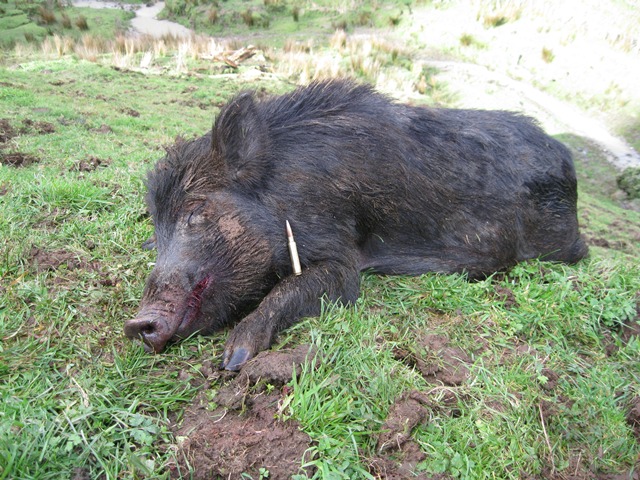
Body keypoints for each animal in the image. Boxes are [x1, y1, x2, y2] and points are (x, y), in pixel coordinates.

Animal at [124, 79, 587, 370]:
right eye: (157, 228)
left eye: (195, 212)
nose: (136, 324)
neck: (286, 190)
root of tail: (565, 155)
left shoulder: (339, 249)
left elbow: (304, 287)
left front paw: (234, 358)